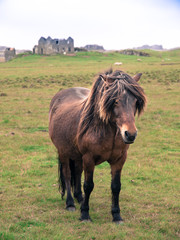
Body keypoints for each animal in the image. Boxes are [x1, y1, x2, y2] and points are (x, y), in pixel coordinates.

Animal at [48, 69, 146, 223]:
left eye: (136, 101)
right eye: (115, 100)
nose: (130, 134)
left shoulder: (119, 160)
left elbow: (116, 186)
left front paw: (116, 215)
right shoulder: (89, 158)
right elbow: (88, 185)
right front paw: (85, 214)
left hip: (77, 156)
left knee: (77, 172)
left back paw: (79, 197)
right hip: (63, 152)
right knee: (68, 175)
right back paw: (70, 203)